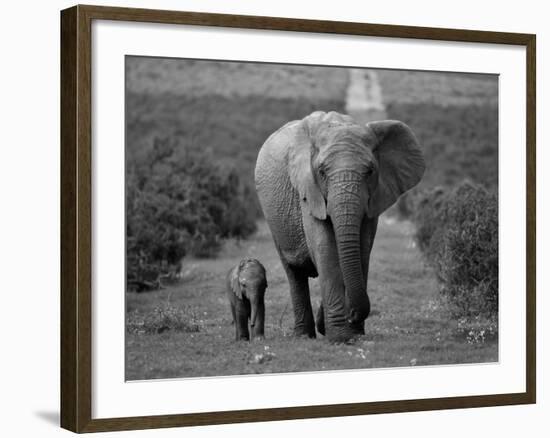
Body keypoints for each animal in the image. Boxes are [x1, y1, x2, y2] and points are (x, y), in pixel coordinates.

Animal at [256, 110, 426, 342]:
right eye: (321, 172)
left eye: (370, 171)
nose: (352, 314)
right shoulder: (309, 192)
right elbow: (326, 249)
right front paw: (339, 338)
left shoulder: (373, 198)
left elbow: (362, 250)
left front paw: (354, 334)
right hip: (273, 219)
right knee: (294, 272)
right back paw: (304, 336)